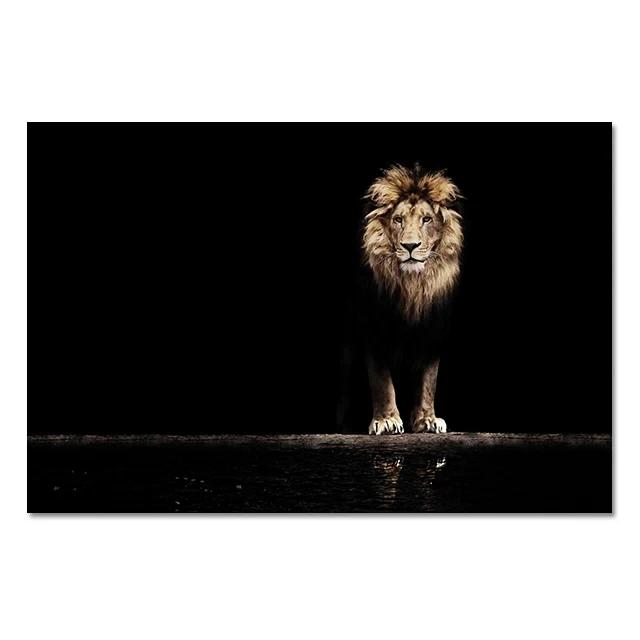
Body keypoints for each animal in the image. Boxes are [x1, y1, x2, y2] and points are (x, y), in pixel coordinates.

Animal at [349, 163, 463, 435]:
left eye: (426, 219)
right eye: (398, 220)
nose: (410, 246)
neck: (412, 286)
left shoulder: (434, 329)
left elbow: (428, 380)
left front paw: (427, 419)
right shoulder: (373, 327)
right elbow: (381, 379)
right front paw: (386, 420)